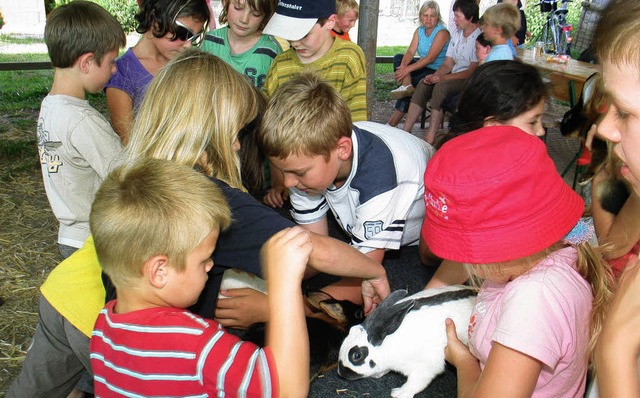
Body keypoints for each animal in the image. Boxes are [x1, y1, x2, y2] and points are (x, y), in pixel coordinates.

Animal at [336, 284, 476, 396]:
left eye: (357, 355)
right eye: (350, 330)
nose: (341, 372)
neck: (386, 345)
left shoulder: (426, 366)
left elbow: (416, 382)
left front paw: (398, 393)